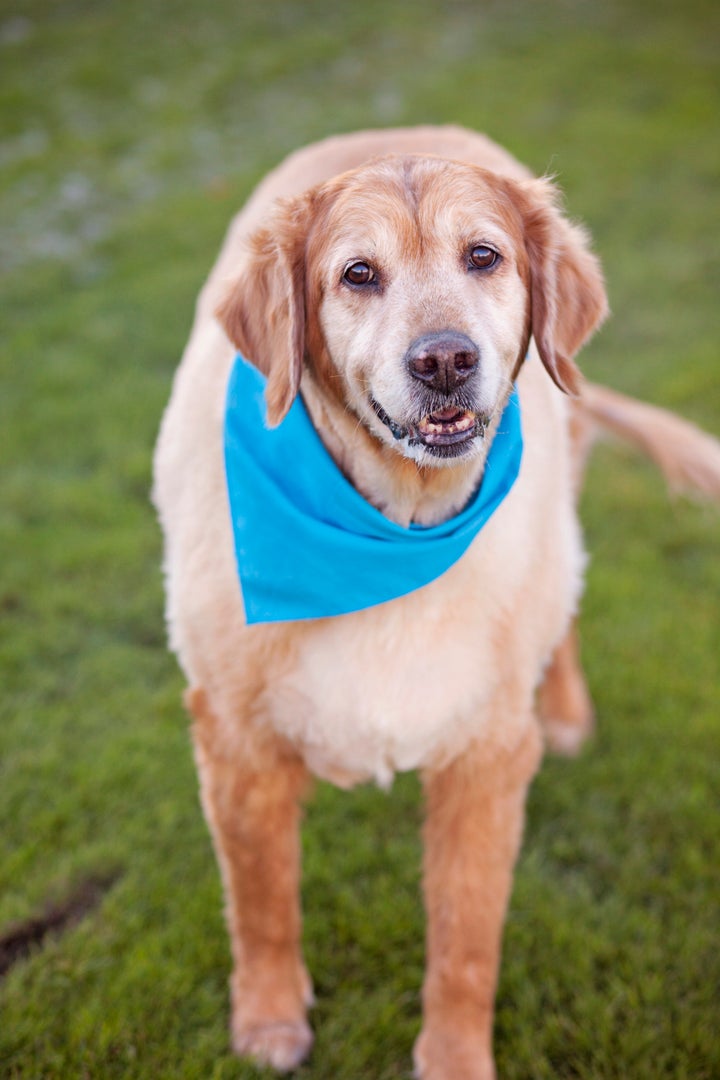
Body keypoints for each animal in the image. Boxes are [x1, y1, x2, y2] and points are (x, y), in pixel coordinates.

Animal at [153, 124, 720, 1071]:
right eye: (358, 273)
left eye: (482, 256)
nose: (447, 359)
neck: (393, 529)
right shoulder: (233, 737)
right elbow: (262, 900)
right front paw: (269, 1020)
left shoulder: (485, 754)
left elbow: (465, 939)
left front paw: (455, 1056)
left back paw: (567, 712)